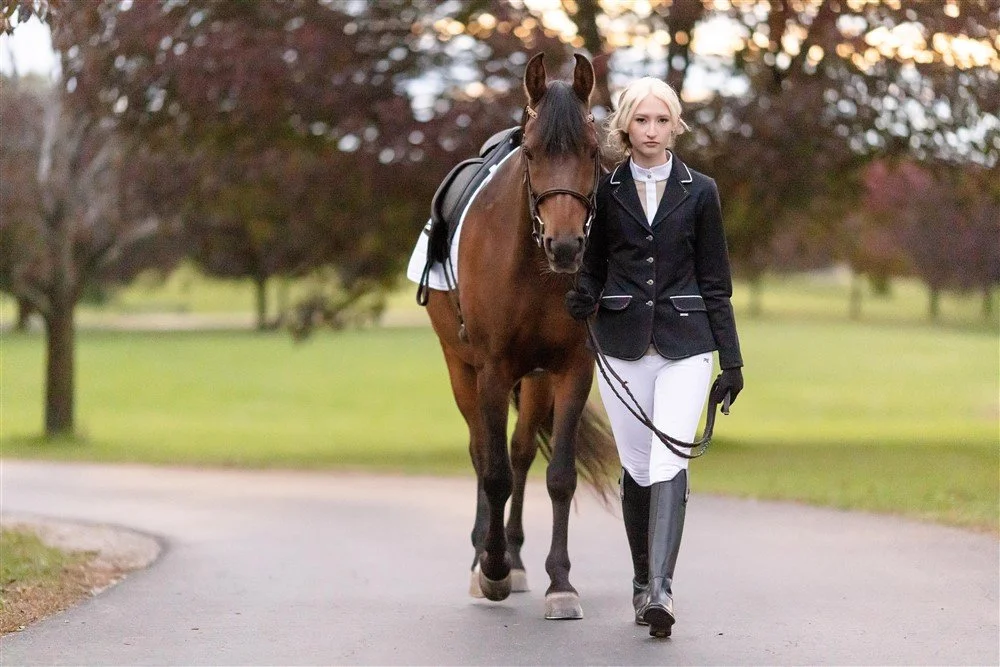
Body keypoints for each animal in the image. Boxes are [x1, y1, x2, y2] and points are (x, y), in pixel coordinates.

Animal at [424, 53, 616, 620]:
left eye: (593, 150)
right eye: (531, 152)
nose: (567, 246)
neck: (534, 268)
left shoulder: (571, 370)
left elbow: (558, 476)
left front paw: (560, 581)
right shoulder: (491, 370)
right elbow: (493, 473)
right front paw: (491, 571)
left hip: (534, 380)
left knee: (522, 451)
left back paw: (517, 557)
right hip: (461, 368)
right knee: (481, 451)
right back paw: (483, 557)